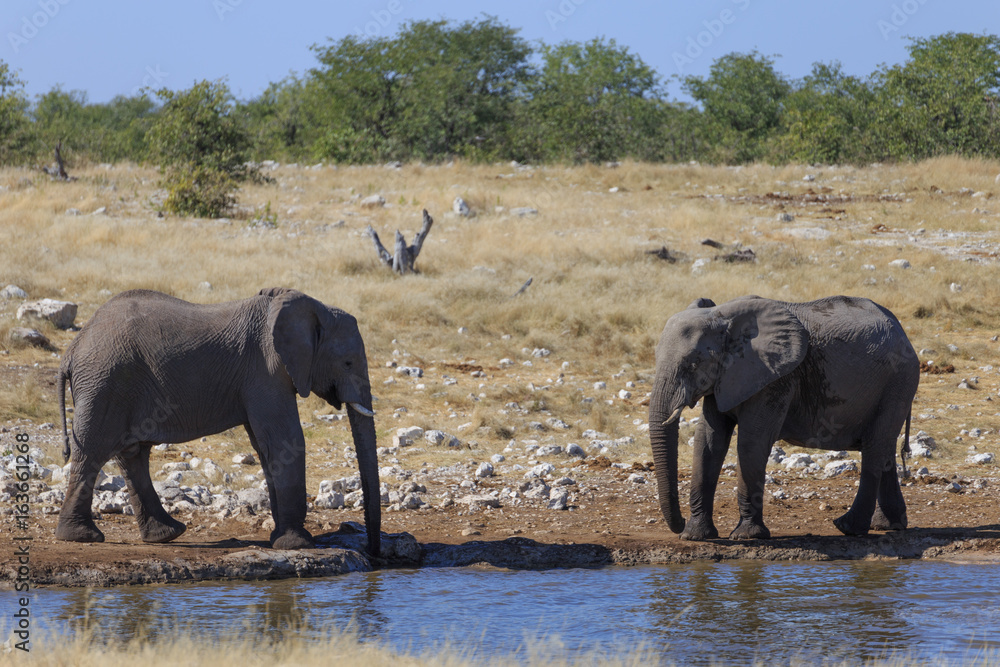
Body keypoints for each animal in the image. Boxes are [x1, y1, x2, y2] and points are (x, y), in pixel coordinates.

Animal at [55, 287, 380, 555]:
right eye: (348, 363)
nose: (374, 551)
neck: (314, 308)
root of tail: (71, 350)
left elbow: (266, 447)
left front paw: (280, 540)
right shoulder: (265, 369)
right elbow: (284, 441)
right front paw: (297, 545)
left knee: (131, 454)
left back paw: (165, 535)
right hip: (106, 383)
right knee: (93, 452)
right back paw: (82, 537)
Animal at [648, 295, 919, 541]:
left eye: (693, 364)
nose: (680, 523)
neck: (722, 315)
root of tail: (903, 332)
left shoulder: (775, 377)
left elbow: (751, 442)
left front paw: (747, 536)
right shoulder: (724, 378)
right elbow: (708, 441)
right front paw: (694, 536)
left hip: (898, 381)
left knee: (875, 448)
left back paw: (848, 527)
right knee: (884, 448)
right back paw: (888, 526)